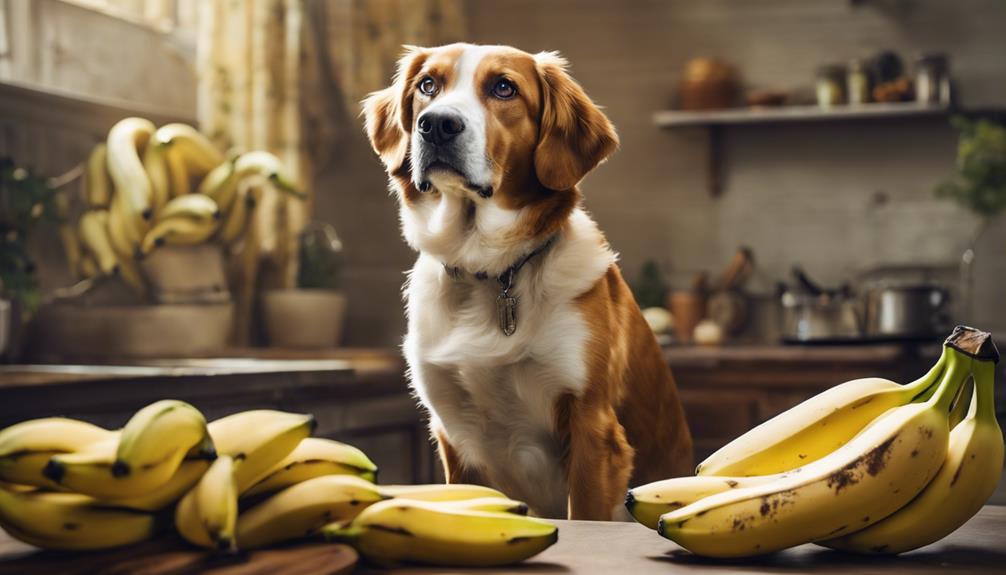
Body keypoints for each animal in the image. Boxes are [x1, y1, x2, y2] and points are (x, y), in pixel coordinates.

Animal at [366, 43, 696, 522]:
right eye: (428, 85)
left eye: (504, 88)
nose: (437, 124)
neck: (492, 271)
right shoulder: (455, 436)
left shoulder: (592, 428)